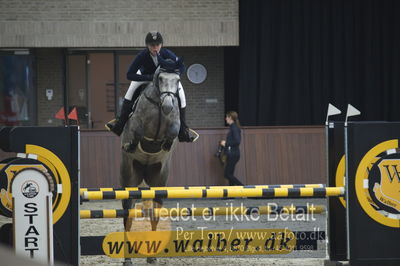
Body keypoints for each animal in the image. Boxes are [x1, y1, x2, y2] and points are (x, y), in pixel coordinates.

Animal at [119, 61, 181, 264]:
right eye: (160, 78)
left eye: (177, 80)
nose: (168, 105)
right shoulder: (137, 122)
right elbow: (138, 131)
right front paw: (132, 144)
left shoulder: (174, 123)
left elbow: (173, 132)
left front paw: (166, 143)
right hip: (128, 180)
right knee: (127, 216)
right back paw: (127, 259)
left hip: (158, 182)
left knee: (154, 215)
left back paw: (152, 256)